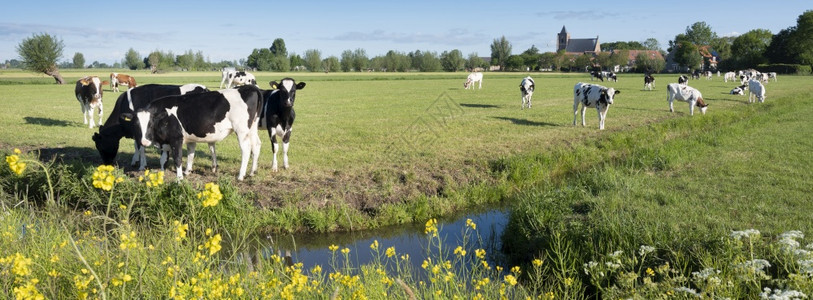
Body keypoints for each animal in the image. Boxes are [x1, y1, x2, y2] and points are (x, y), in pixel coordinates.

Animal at [132, 84, 260, 179]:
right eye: (137, 125)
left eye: (151, 124)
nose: (144, 141)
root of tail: (248, 88)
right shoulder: (171, 140)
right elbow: (175, 157)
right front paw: (166, 173)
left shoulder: (176, 139)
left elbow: (178, 158)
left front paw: (179, 178)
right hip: (252, 129)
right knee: (256, 145)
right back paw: (252, 172)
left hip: (241, 131)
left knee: (246, 149)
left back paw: (241, 175)